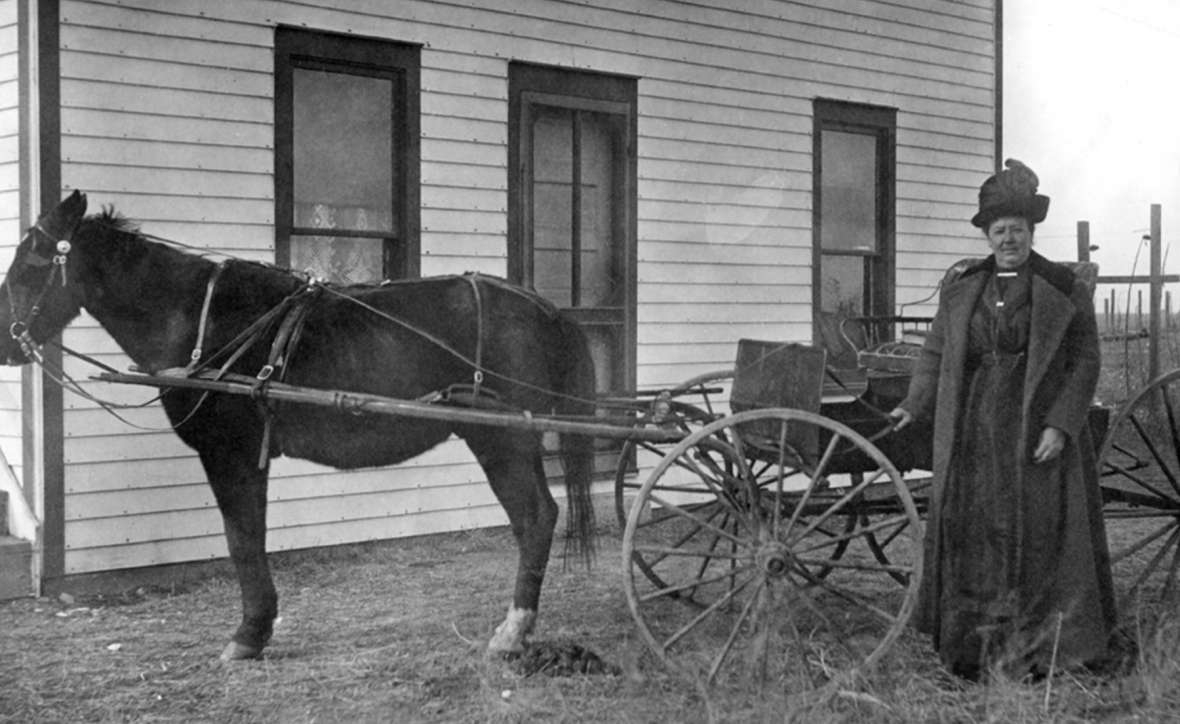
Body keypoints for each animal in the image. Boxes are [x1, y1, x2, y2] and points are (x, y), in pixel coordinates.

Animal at [0, 191, 599, 665]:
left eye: (29, 265)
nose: (7, 344)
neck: (200, 321)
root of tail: (544, 308)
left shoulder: (231, 453)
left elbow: (242, 541)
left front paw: (248, 634)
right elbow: (252, 536)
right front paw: (258, 626)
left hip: (502, 437)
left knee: (535, 517)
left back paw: (513, 630)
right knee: (540, 516)